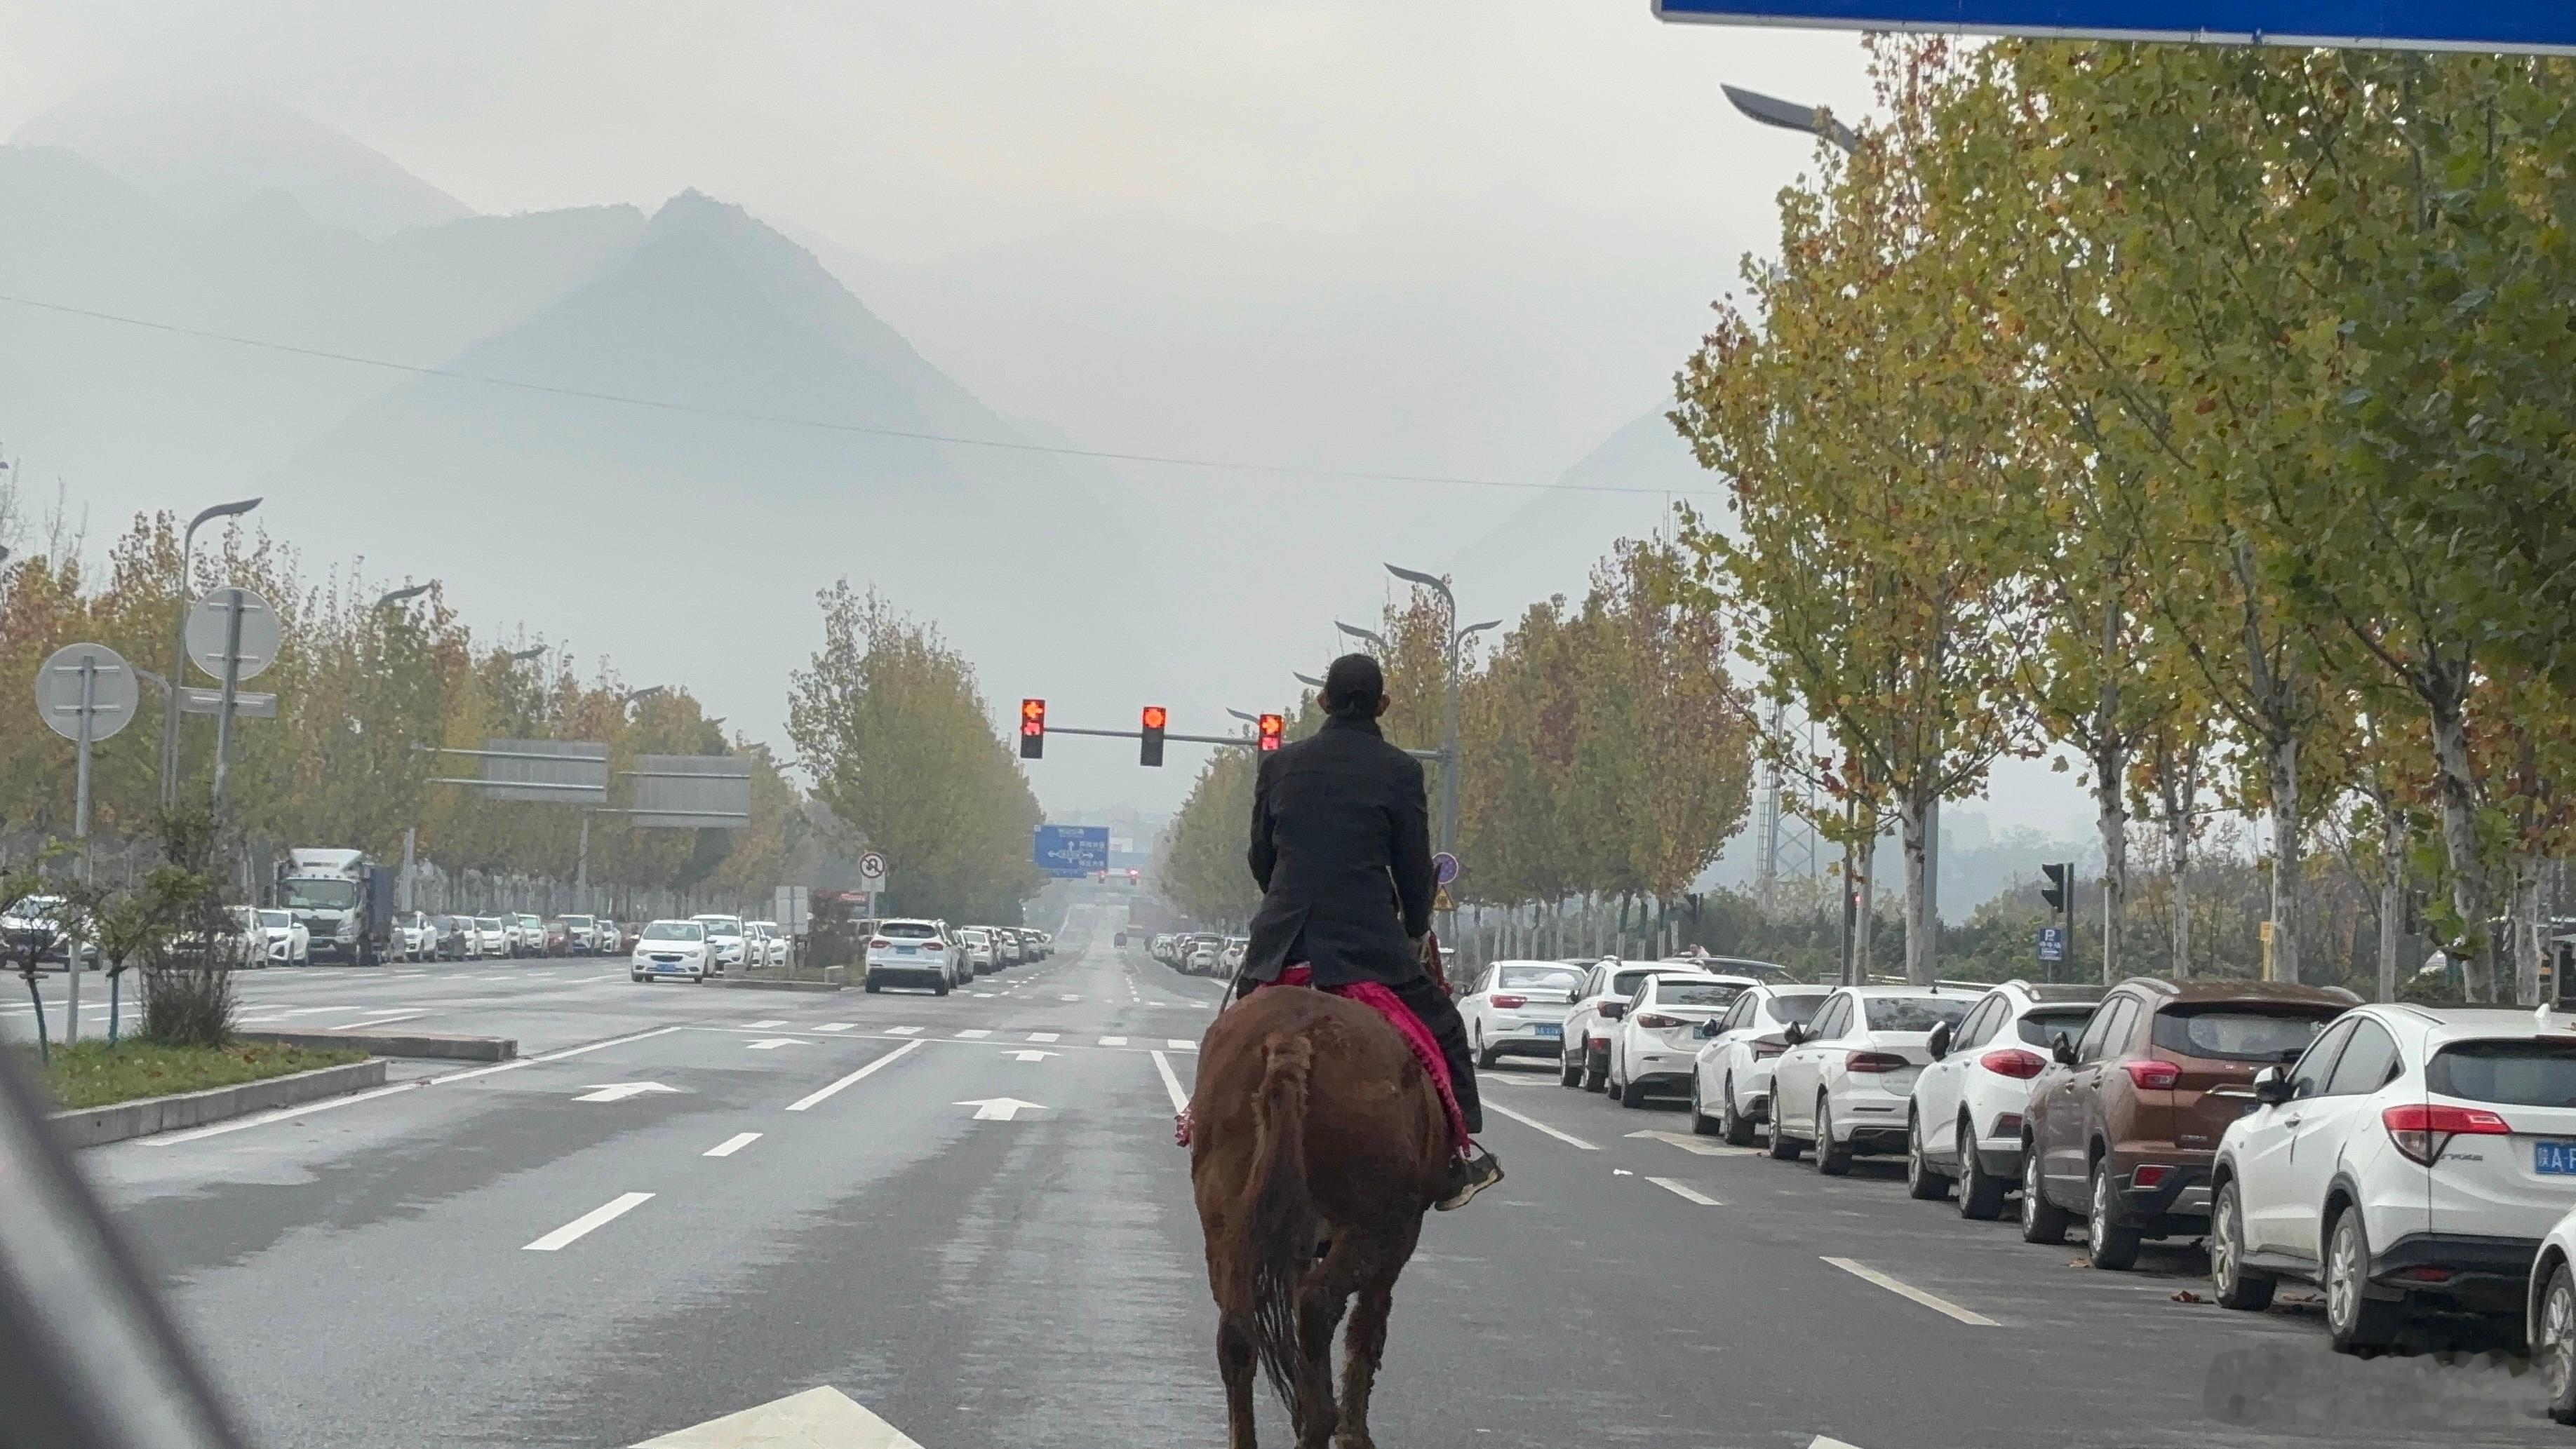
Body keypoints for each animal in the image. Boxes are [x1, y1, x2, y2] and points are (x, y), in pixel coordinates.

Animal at [1185, 983, 1453, 1441]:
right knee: (1318, 1304)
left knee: (1237, 1335)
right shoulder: (1399, 1242)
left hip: (1226, 1229)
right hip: (1375, 1228)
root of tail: (1291, 1040)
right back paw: (1321, 1419)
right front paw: (1354, 1434)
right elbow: (1367, 1328)